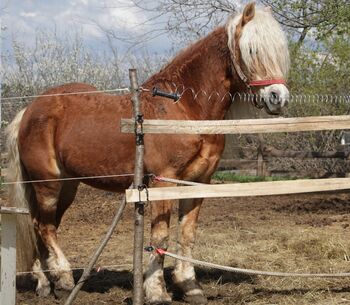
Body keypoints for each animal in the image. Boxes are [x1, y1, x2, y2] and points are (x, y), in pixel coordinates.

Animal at [6, 2, 290, 304]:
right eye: (252, 50)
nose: (278, 97)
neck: (184, 109)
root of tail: (29, 111)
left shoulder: (197, 182)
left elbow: (187, 234)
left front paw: (190, 286)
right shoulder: (162, 182)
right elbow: (160, 238)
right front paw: (156, 292)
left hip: (67, 186)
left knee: (39, 225)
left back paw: (45, 284)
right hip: (48, 184)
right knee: (44, 226)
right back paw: (63, 279)